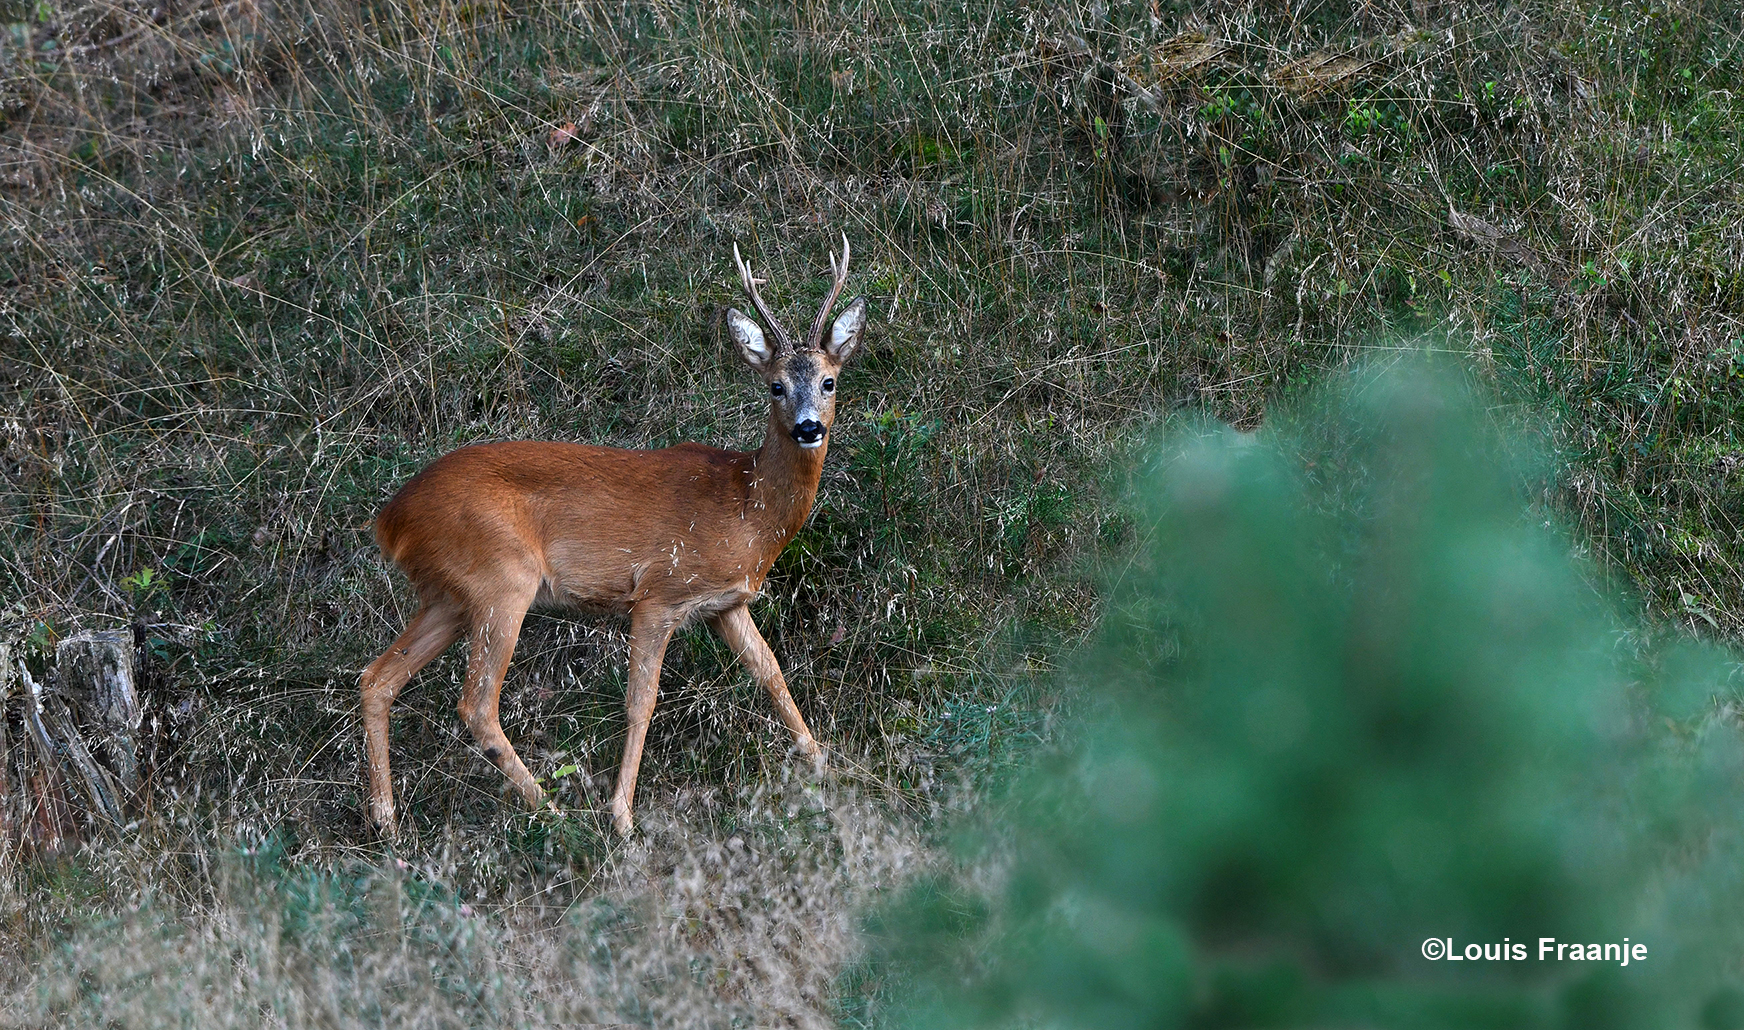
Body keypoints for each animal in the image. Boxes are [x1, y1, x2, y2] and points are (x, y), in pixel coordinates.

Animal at [361, 235, 865, 836]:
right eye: (776, 386)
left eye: (829, 380)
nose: (809, 427)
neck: (747, 511)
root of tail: (390, 518)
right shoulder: (658, 593)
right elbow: (640, 703)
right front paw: (622, 815)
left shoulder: (726, 604)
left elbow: (771, 674)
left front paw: (822, 761)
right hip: (500, 581)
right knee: (476, 704)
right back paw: (550, 809)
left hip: (448, 597)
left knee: (378, 678)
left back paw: (387, 821)